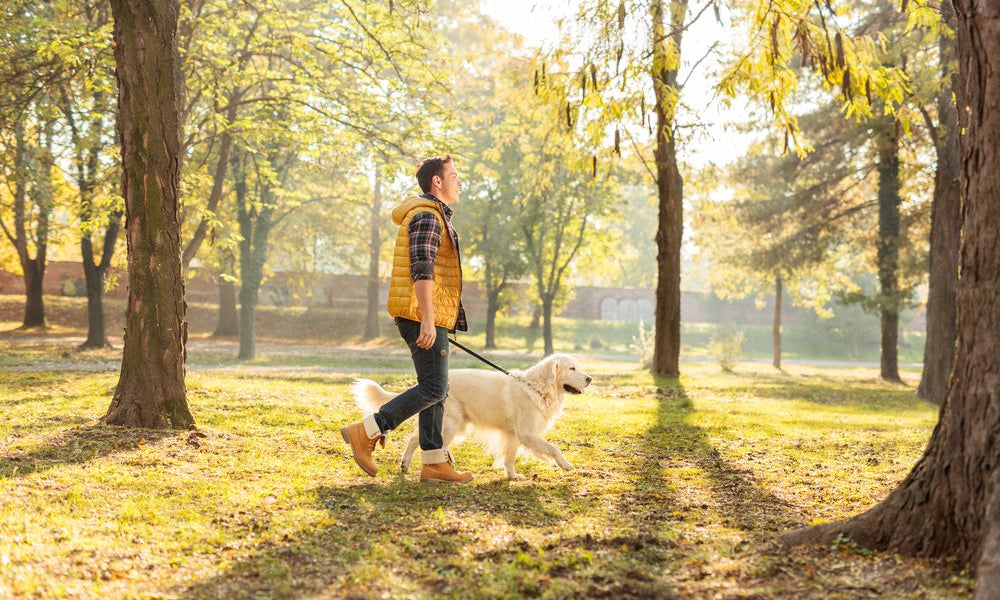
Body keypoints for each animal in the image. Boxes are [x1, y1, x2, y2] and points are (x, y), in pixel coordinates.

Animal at [352, 354, 588, 480]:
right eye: (572, 368)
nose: (590, 379)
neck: (537, 387)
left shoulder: (513, 435)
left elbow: (510, 457)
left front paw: (512, 476)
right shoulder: (527, 433)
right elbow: (553, 448)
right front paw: (566, 465)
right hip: (452, 423)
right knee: (417, 440)